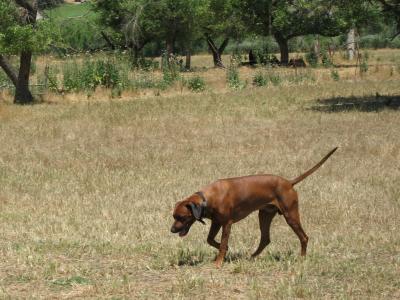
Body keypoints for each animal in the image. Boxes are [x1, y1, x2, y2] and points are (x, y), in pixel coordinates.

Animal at [170, 148, 336, 268]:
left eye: (182, 217)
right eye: (174, 217)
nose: (171, 230)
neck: (208, 198)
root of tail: (289, 183)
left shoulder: (226, 224)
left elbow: (222, 244)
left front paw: (219, 262)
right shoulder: (216, 222)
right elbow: (210, 239)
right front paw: (223, 251)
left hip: (291, 215)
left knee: (304, 237)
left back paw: (302, 258)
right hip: (264, 215)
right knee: (265, 239)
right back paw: (252, 257)